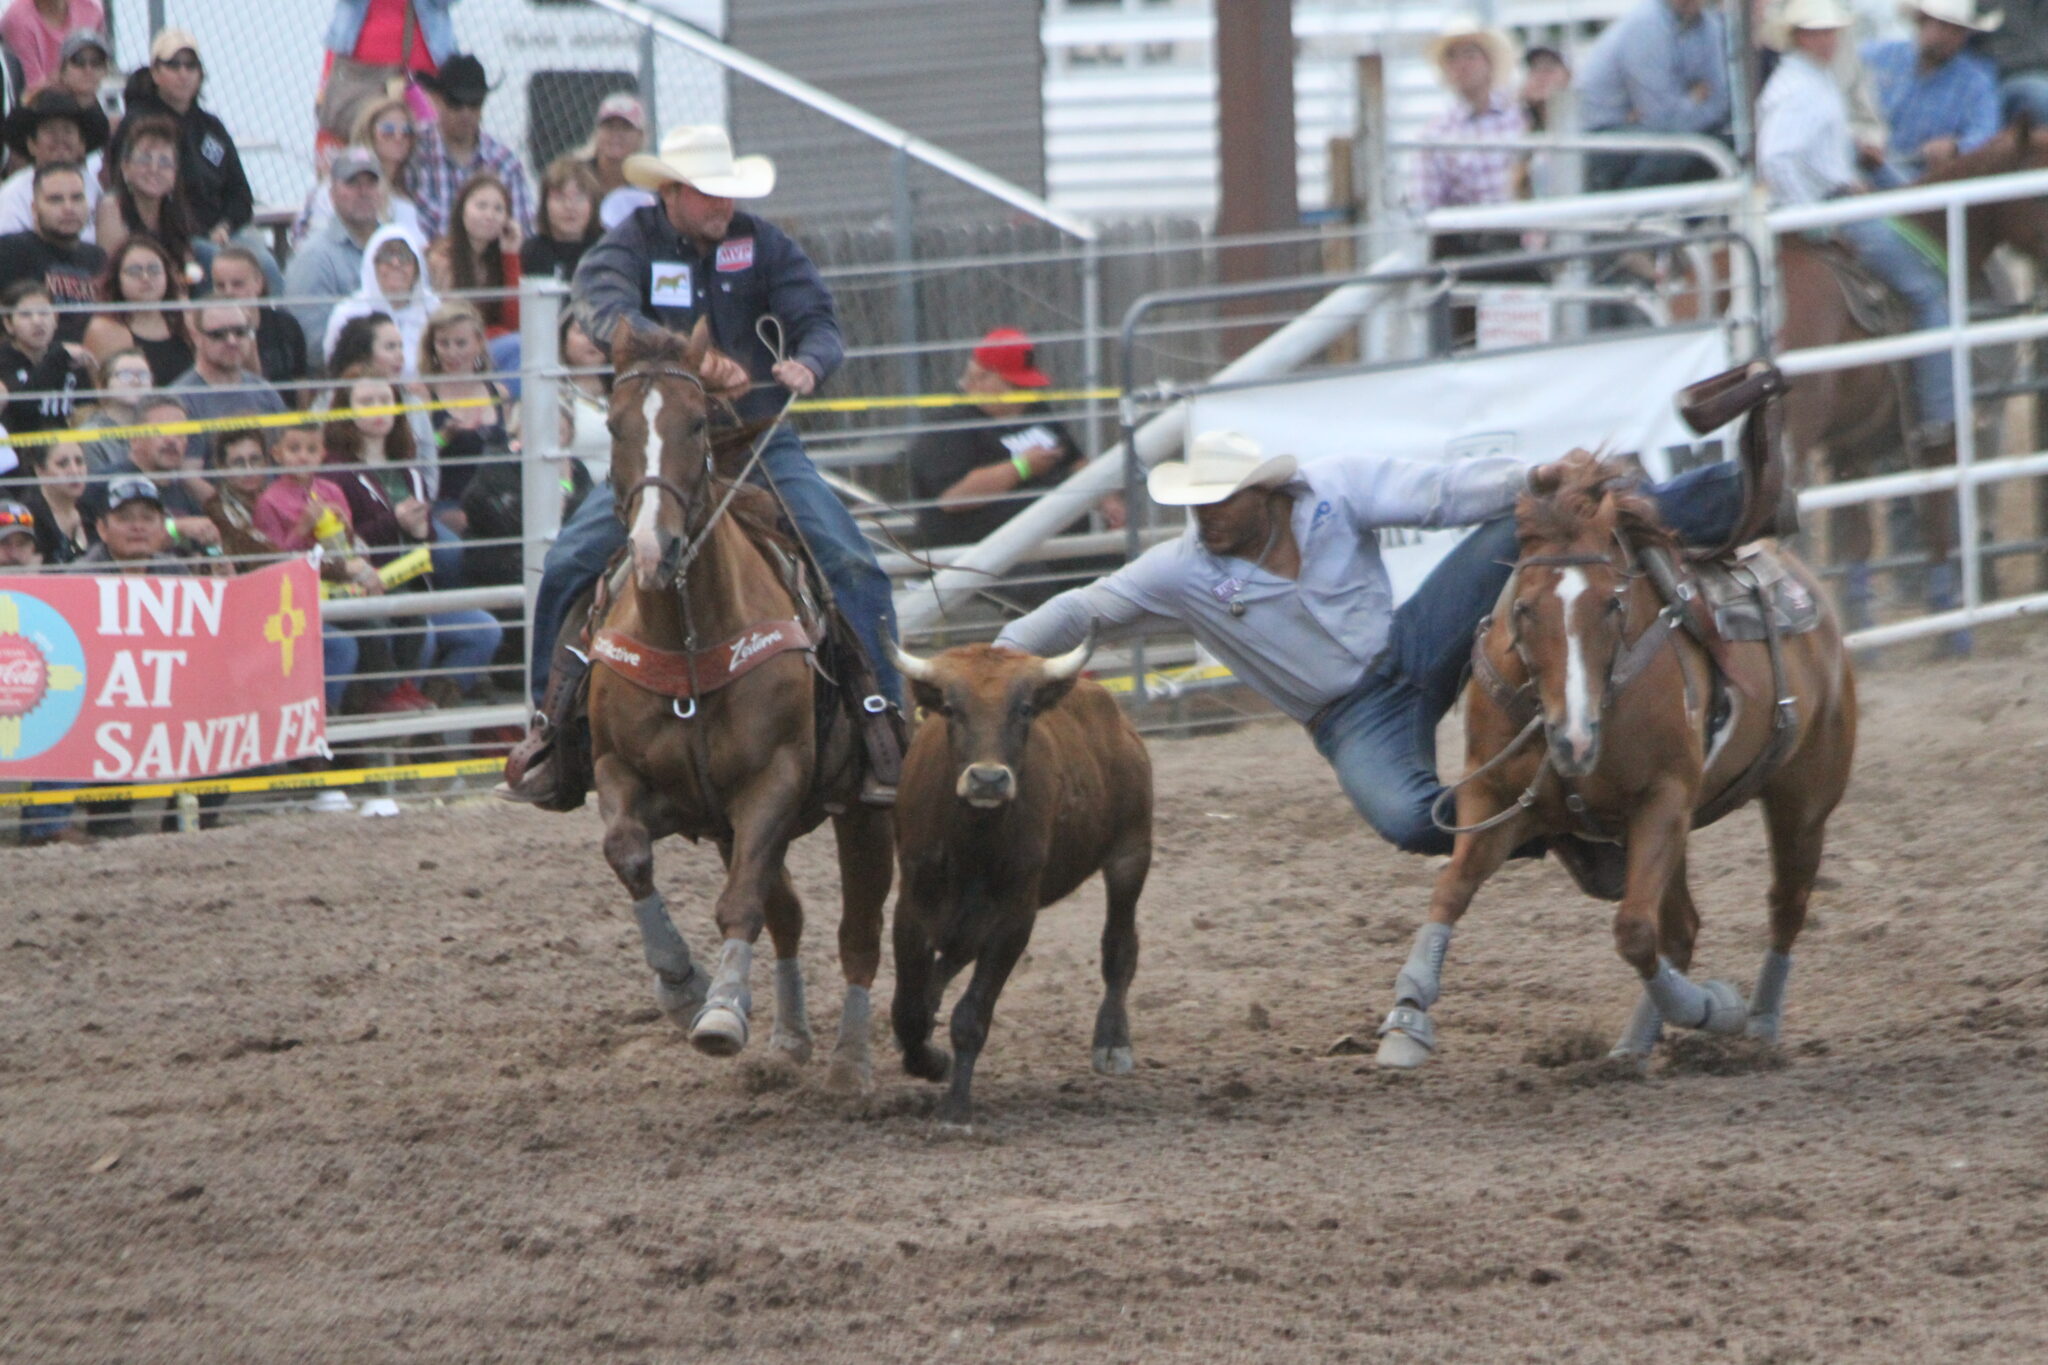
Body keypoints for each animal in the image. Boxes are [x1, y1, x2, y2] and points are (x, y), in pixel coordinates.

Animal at [585, 321, 888, 1088]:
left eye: (696, 422)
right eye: (614, 424)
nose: (654, 548)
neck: (690, 635)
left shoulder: (774, 779)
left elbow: (741, 900)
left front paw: (721, 1011)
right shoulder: (619, 770)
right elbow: (628, 852)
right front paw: (682, 984)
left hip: (861, 810)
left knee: (859, 932)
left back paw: (851, 1058)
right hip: (728, 825)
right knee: (791, 915)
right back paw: (789, 1035)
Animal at [1376, 454, 1859, 1072]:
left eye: (1613, 603)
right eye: (1524, 608)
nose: (1574, 740)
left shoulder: (1664, 798)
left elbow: (1633, 930)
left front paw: (1713, 1008)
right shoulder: (1493, 797)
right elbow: (1452, 888)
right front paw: (1407, 1019)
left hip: (1801, 804)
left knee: (1784, 906)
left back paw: (1757, 1024)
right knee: (1682, 928)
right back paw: (1635, 1045)